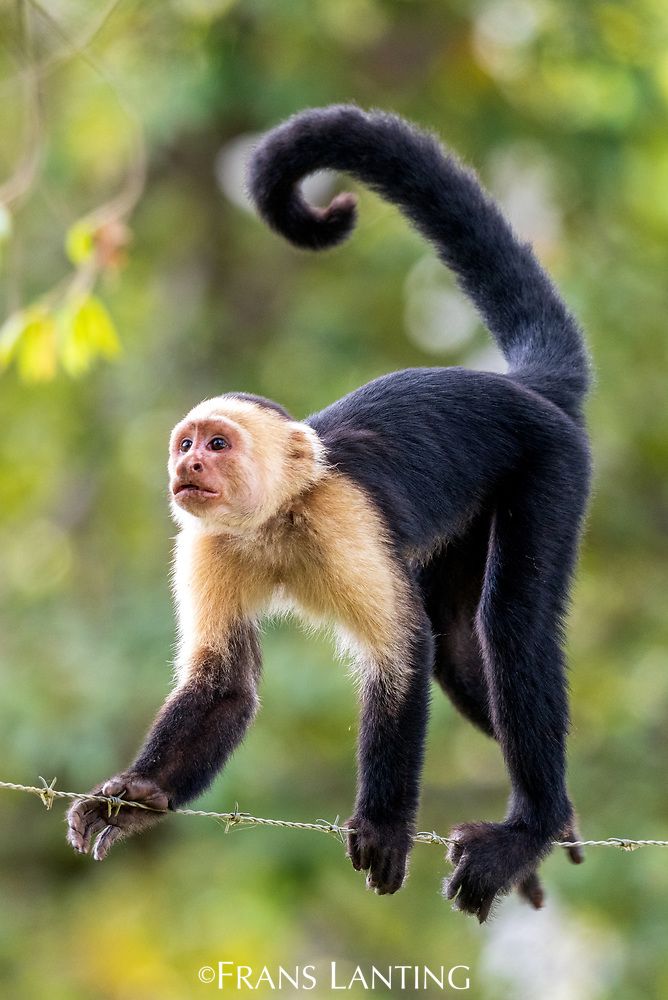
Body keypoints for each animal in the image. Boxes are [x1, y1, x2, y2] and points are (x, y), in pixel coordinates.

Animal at [68, 105, 588, 924]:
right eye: (186, 443)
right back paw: (557, 821)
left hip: (551, 462)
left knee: (508, 626)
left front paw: (382, 824)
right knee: (460, 636)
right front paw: (136, 799)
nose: (188, 466)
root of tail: (523, 387)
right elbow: (225, 687)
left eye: (217, 443)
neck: (277, 518)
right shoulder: (208, 545)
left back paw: (526, 830)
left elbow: (401, 653)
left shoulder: (342, 519)